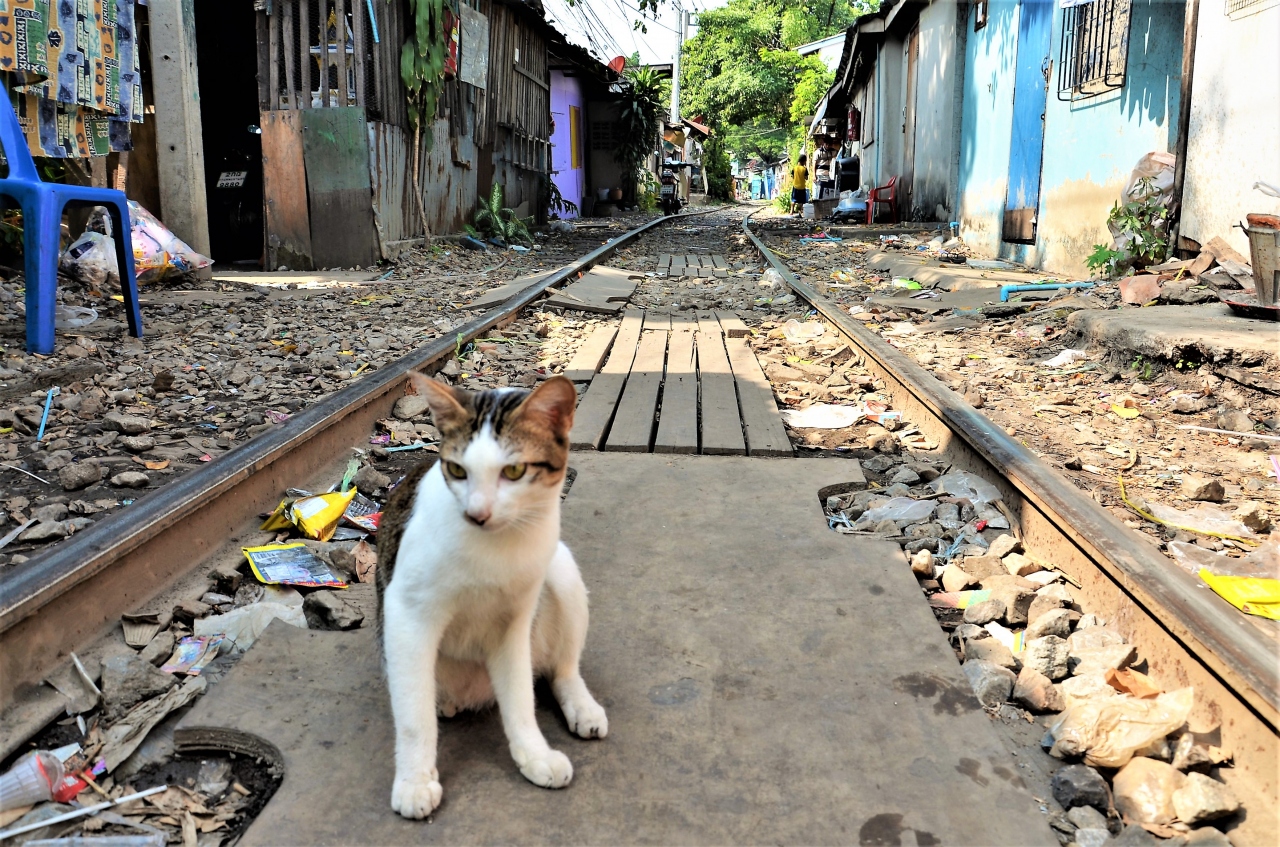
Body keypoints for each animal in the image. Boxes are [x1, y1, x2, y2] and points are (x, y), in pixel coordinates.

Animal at [373, 373, 609, 823]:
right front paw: (414, 781)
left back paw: (581, 705)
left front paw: (533, 754)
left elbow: (520, 696)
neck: (495, 547)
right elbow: (412, 717)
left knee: (561, 669)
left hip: (560, 566)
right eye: (457, 470)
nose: (476, 515)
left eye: (513, 471)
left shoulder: (514, 623)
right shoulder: (406, 613)